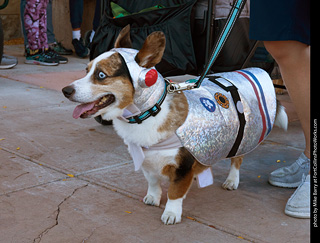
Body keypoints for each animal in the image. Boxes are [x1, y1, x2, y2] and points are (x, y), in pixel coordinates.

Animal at [62, 25, 288, 225]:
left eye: (101, 75)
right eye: (86, 70)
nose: (66, 90)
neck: (150, 111)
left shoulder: (182, 167)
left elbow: (175, 193)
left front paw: (171, 214)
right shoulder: (147, 159)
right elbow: (153, 182)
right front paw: (153, 198)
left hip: (242, 138)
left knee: (237, 158)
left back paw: (232, 180)